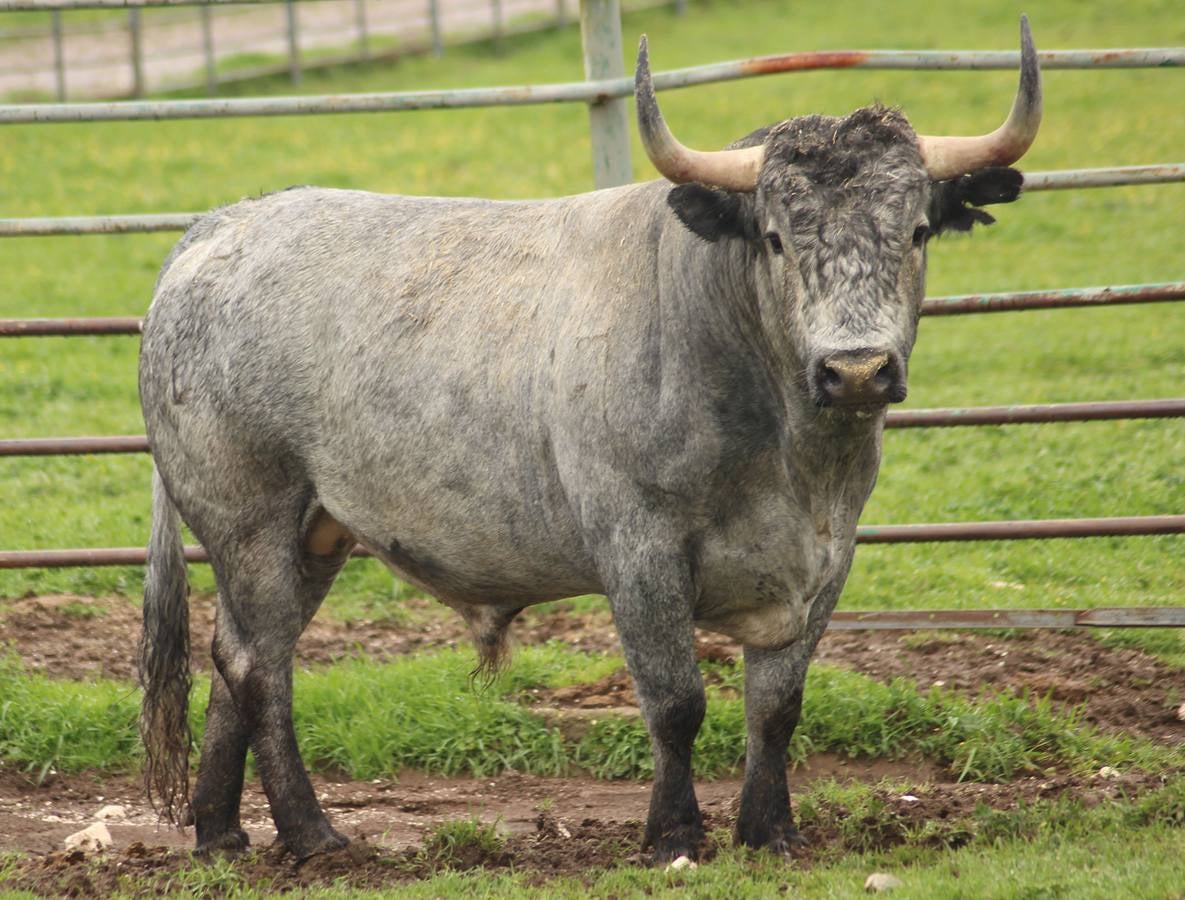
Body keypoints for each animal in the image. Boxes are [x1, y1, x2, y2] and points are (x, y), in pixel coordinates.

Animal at [138, 21, 1042, 863]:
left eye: (917, 231)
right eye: (778, 237)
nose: (855, 369)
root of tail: (219, 228)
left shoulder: (825, 557)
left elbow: (776, 706)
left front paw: (769, 831)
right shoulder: (638, 550)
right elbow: (675, 702)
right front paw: (673, 834)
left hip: (314, 531)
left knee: (241, 654)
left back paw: (220, 830)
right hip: (249, 516)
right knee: (260, 665)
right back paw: (311, 832)